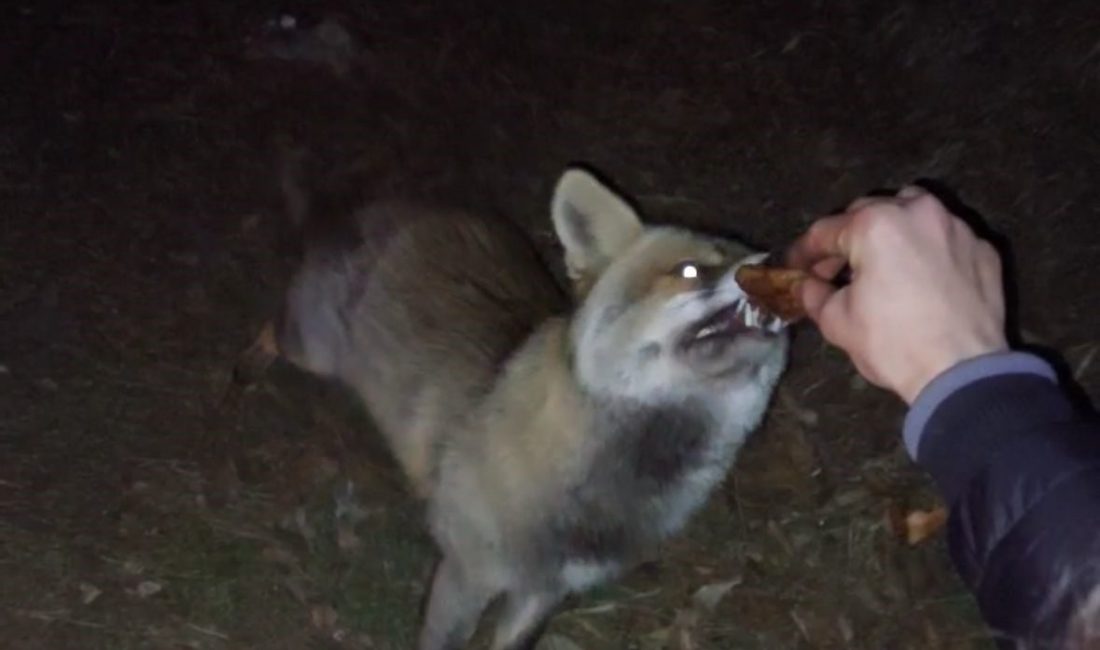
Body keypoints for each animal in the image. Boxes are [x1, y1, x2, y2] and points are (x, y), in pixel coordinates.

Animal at [253, 166, 792, 650]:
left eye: (753, 258)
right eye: (689, 271)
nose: (774, 266)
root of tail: (385, 207)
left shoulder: (546, 589)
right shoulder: (467, 573)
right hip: (311, 350)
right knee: (273, 331)